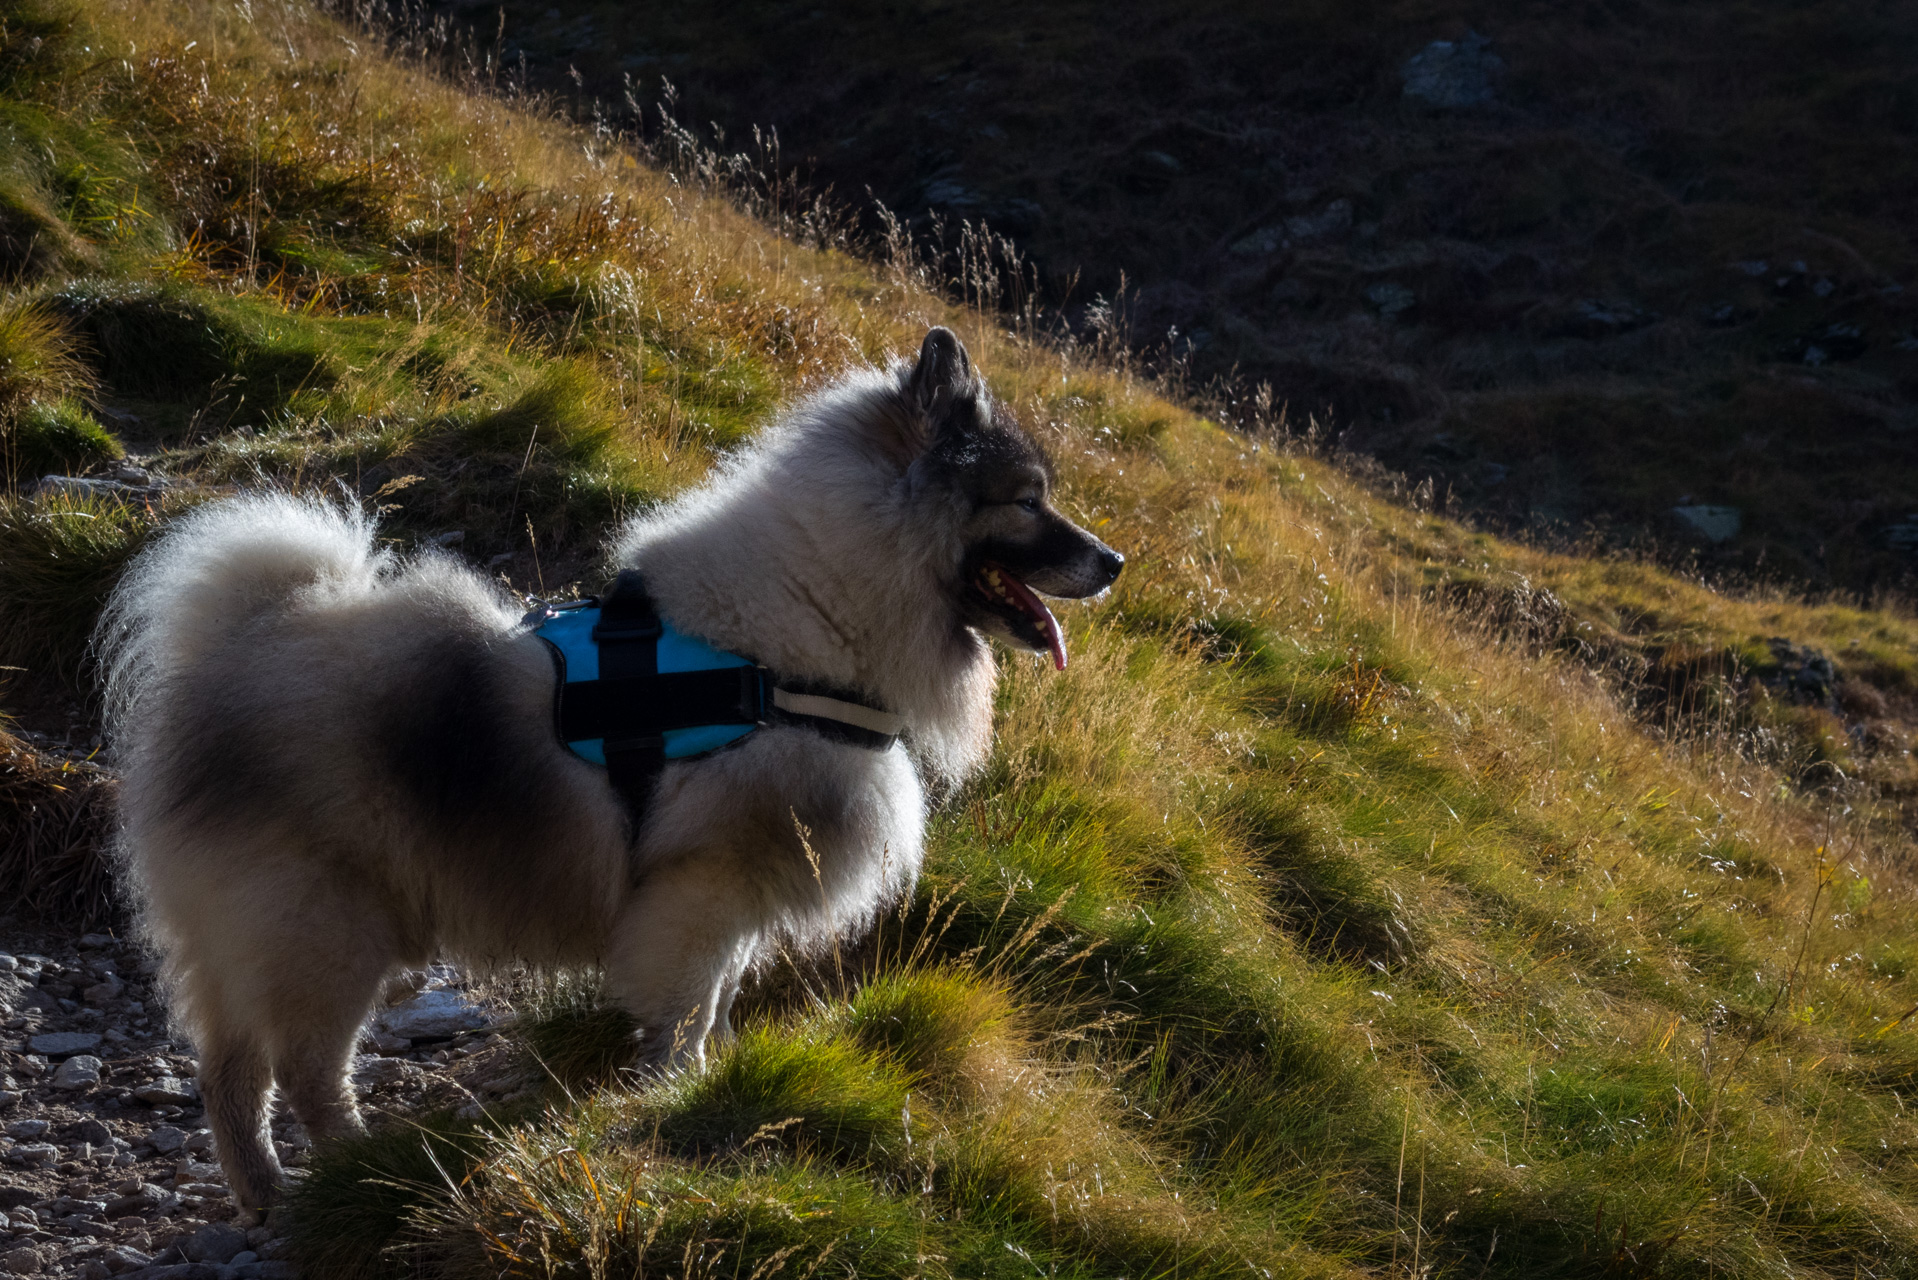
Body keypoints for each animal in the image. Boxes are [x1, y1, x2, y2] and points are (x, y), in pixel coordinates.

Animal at [97, 326, 1120, 1205]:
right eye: (1026, 499)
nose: (1112, 561)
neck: (798, 635)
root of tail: (236, 644)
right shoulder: (701, 888)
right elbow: (685, 1012)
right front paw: (669, 1095)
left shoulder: (730, 904)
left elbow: (715, 1005)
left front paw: (705, 1083)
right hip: (322, 928)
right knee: (306, 1070)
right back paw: (356, 1170)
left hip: (248, 939)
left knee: (230, 1077)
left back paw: (266, 1198)